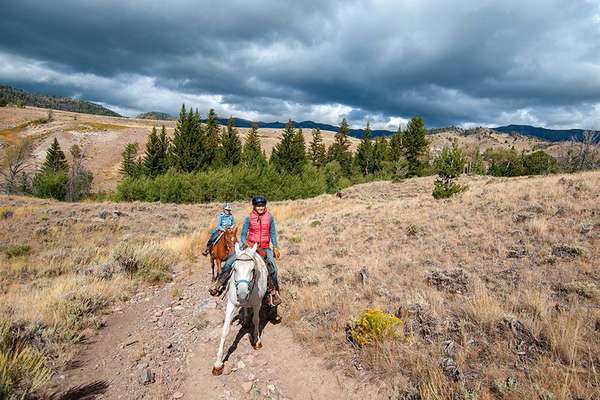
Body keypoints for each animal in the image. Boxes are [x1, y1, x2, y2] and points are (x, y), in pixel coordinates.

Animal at [211, 242, 268, 376]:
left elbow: (256, 321)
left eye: (252, 269)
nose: (242, 294)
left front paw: (257, 341)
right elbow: (225, 330)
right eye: (234, 268)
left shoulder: (257, 304)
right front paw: (218, 363)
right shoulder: (231, 304)